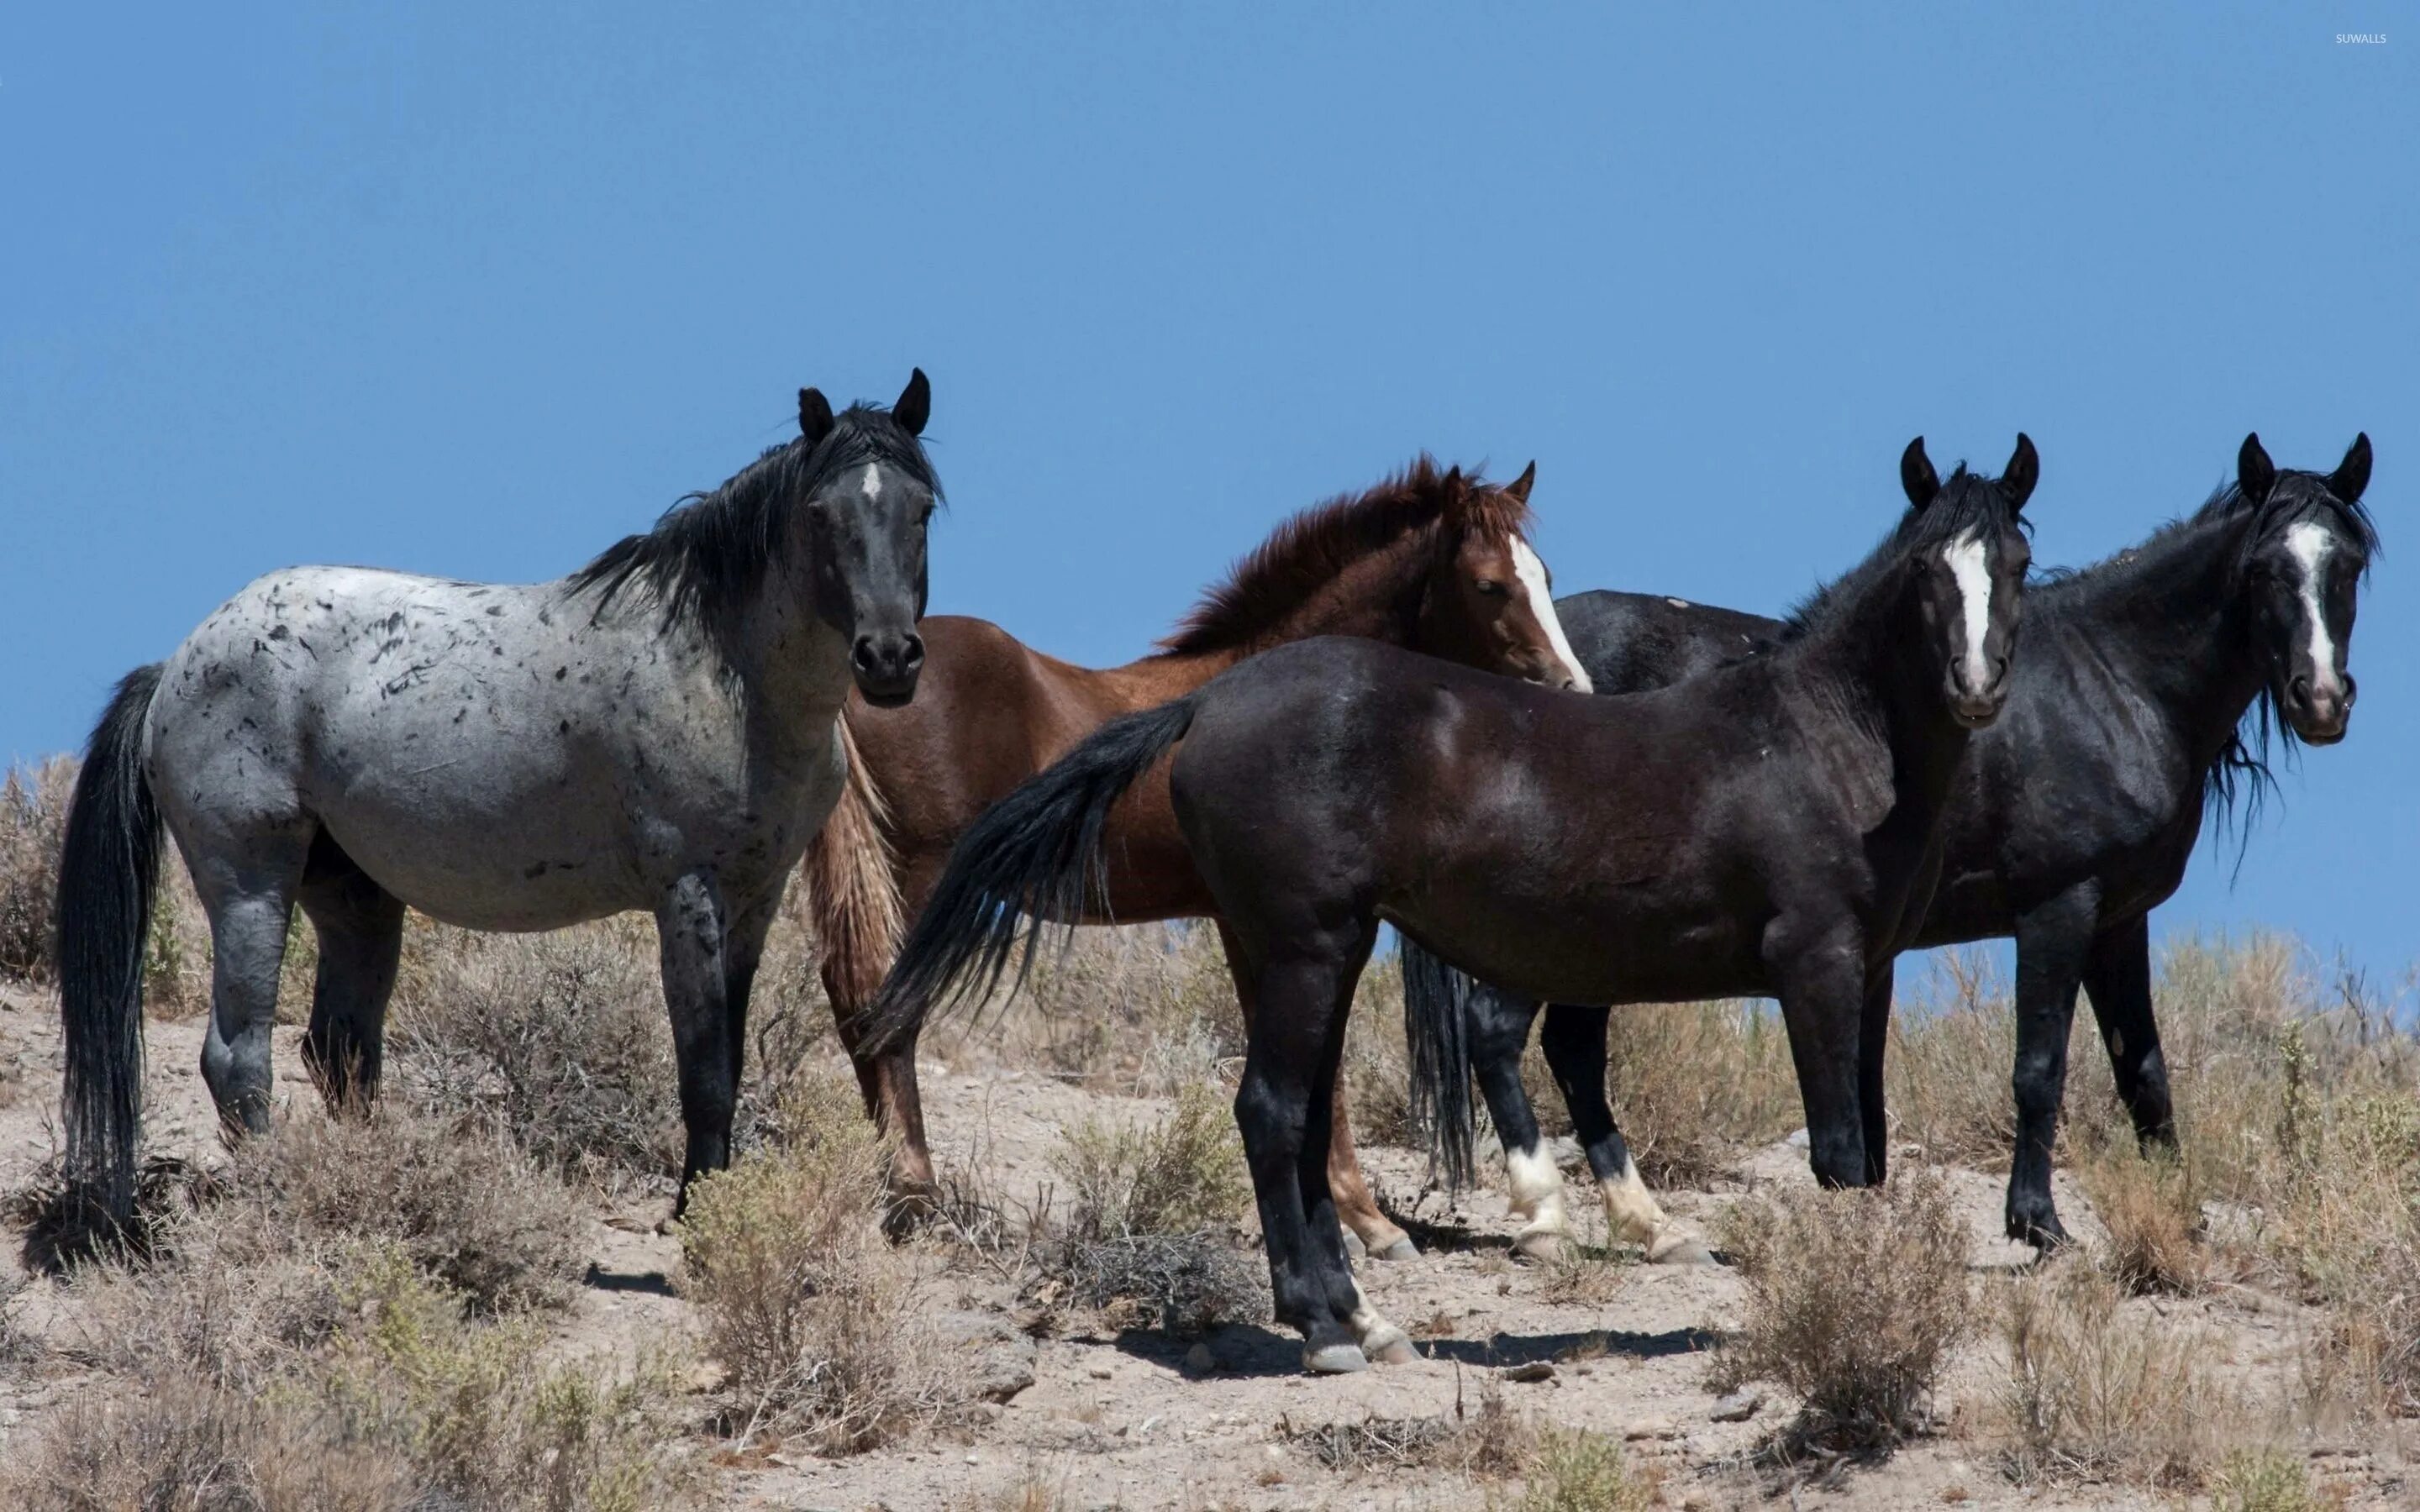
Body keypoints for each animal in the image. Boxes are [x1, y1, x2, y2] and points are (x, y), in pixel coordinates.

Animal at [54, 372, 944, 1219]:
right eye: (822, 512)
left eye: (922, 509)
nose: (889, 659)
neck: (726, 672)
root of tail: (174, 666)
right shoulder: (688, 894)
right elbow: (704, 1078)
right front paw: (695, 1217)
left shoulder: (755, 902)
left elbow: (723, 1062)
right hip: (251, 886)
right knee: (239, 1057)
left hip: (353, 898)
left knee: (339, 1051)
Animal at [793, 457, 1587, 1248]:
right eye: (1489, 584)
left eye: (1544, 575)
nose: (1573, 691)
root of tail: (874, 666)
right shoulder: (1310, 927)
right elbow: (1322, 1066)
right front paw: (1370, 1223)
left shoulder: (1246, 927)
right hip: (918, 876)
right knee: (888, 1009)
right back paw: (915, 1197)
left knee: (857, 1005)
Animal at [1403, 428, 2381, 1248]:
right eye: (2265, 568)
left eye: (2350, 563)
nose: (2322, 699)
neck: (2112, 685)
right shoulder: (2057, 909)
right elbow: (2039, 1068)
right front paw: (2036, 1223)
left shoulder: (2117, 921)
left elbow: (2144, 1073)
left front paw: (2178, 1216)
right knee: (1506, 1033)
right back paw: (1550, 1218)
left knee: (1570, 1047)